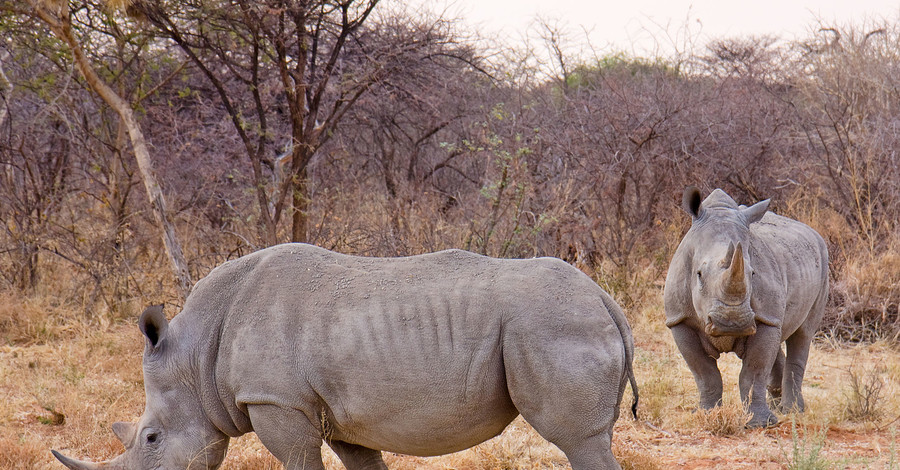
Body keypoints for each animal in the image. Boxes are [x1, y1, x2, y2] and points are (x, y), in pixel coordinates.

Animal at [52, 244, 640, 468]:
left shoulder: (277, 402)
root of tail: (604, 299)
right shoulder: (343, 416)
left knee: (577, 439)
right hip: (558, 322)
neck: (195, 359)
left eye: (151, 439)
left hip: (550, 325)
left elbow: (297, 460)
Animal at [664, 186, 828, 426]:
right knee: (780, 334)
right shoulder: (679, 319)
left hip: (823, 262)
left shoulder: (764, 317)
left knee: (803, 334)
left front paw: (761, 423)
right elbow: (704, 373)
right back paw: (777, 404)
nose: (732, 323)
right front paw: (705, 414)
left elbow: (754, 370)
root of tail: (814, 233)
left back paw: (792, 411)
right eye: (699, 275)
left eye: (752, 274)